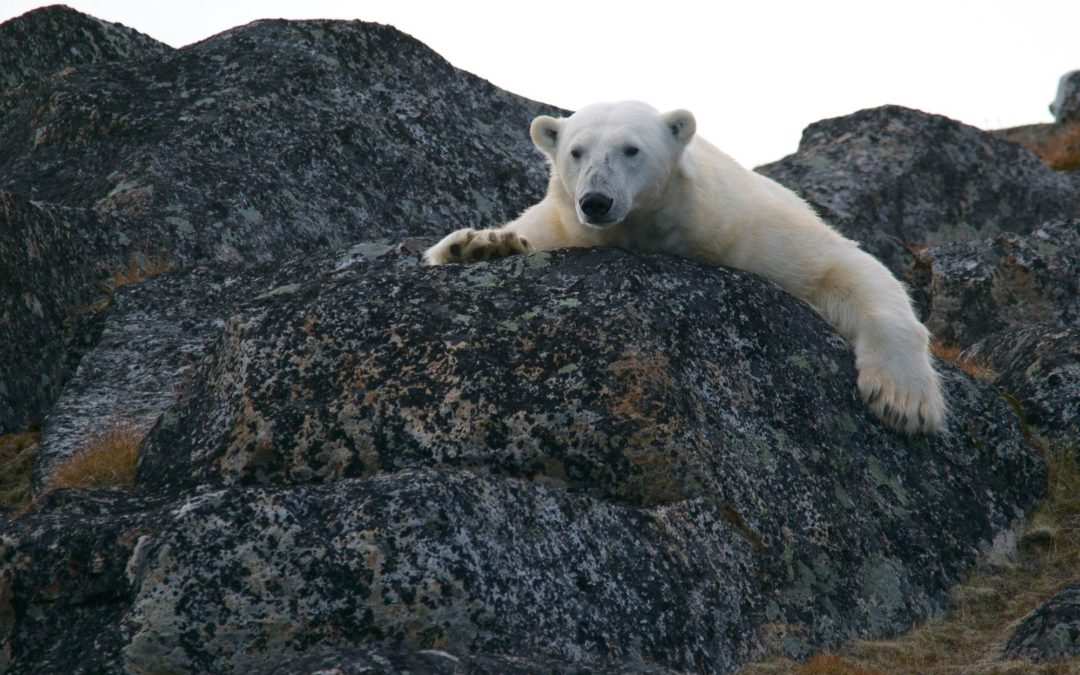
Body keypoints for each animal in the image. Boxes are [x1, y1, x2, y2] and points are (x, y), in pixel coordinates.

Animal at [421, 102, 946, 434]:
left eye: (631, 149)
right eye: (576, 151)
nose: (596, 200)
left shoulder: (746, 227)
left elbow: (844, 267)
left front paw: (903, 401)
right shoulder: (561, 224)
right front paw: (479, 246)